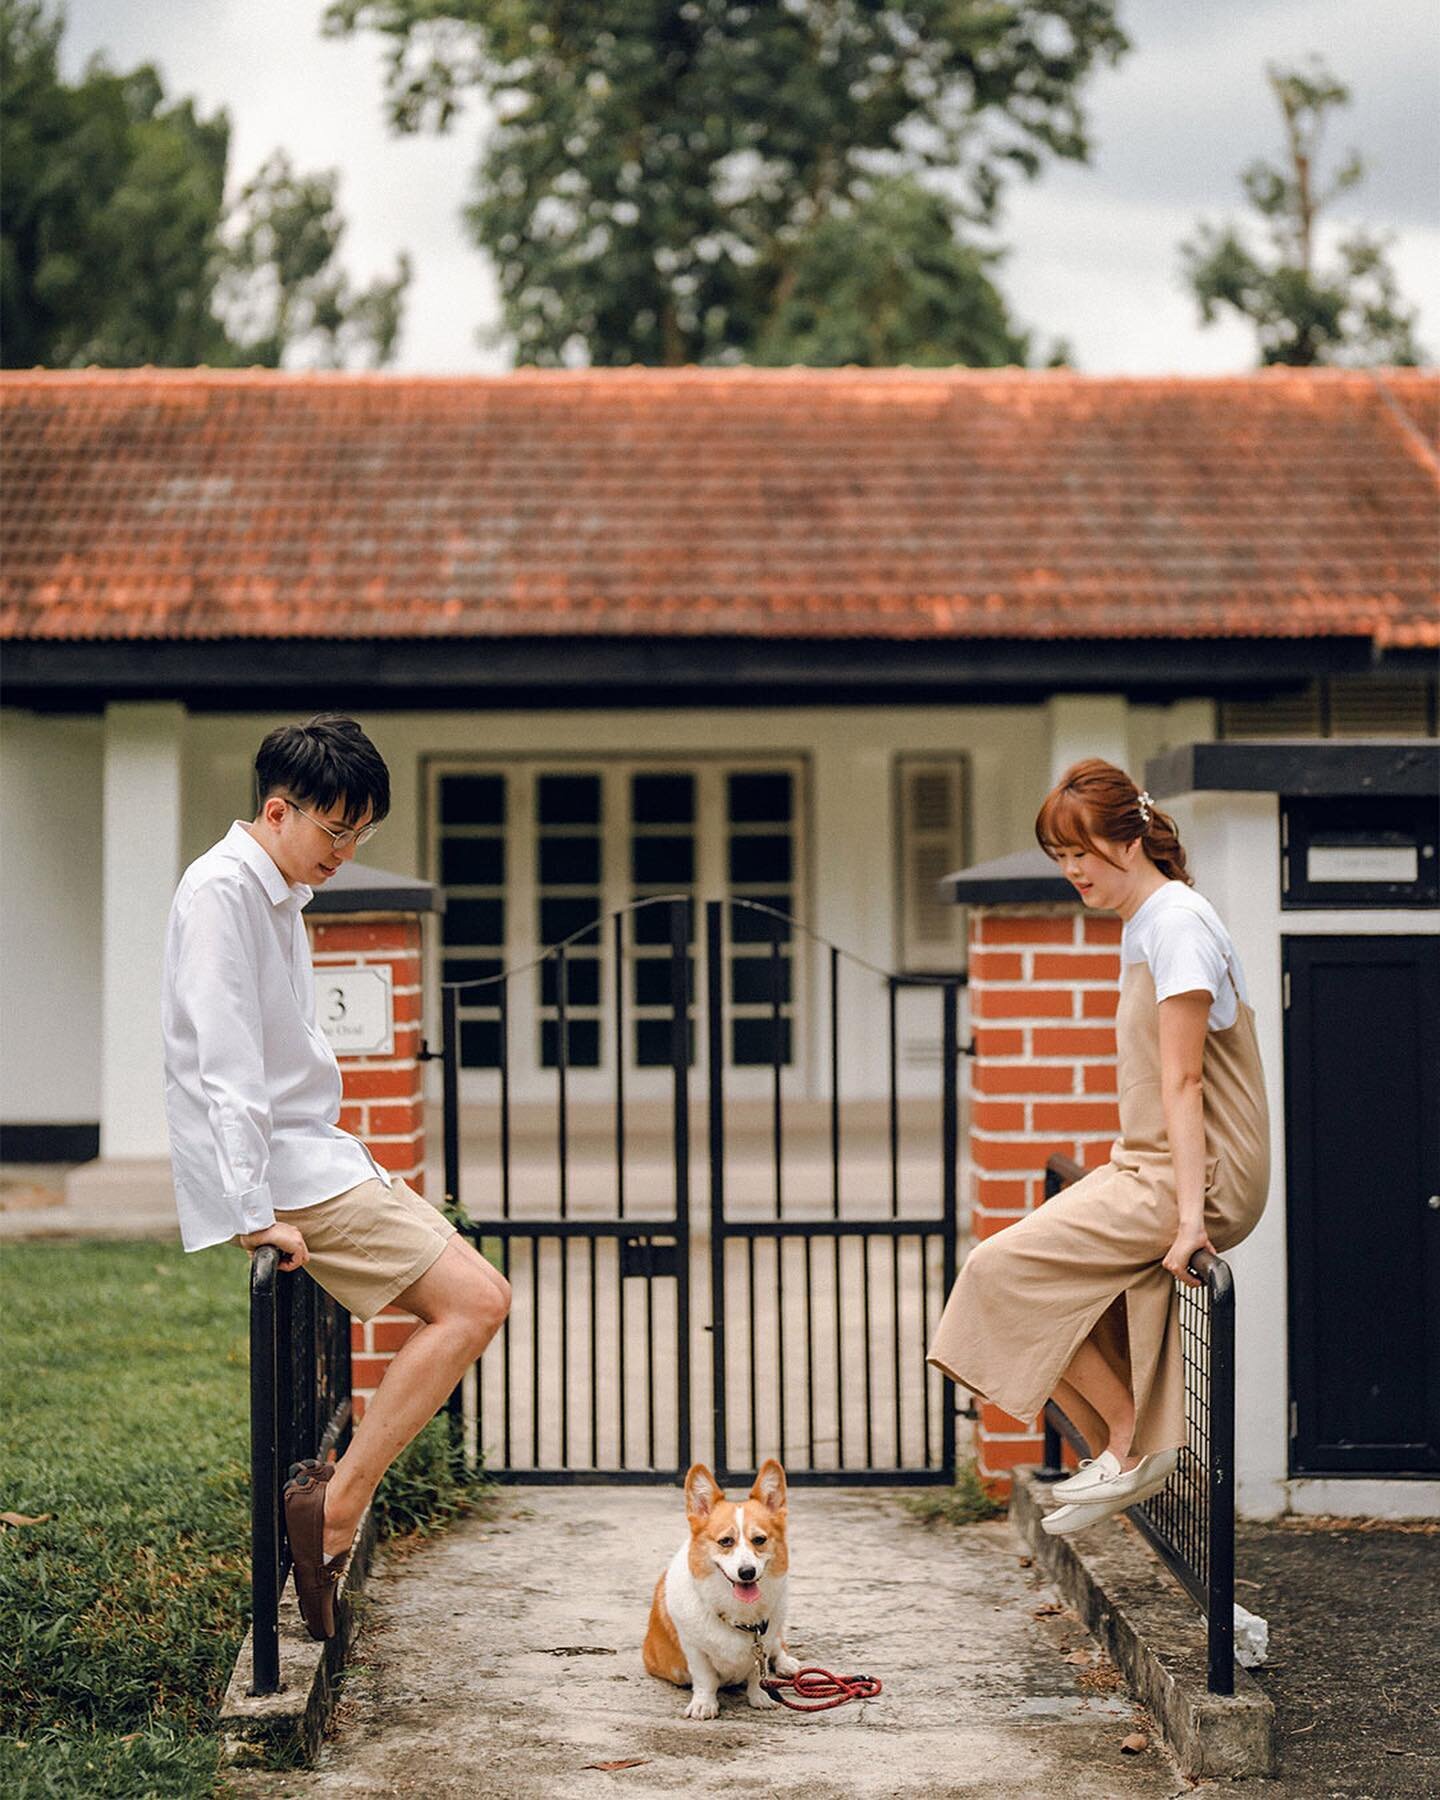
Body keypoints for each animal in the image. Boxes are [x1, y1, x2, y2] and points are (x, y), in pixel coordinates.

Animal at [640, 1454, 799, 1720]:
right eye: (726, 1541)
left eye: (759, 1540)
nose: (747, 1572)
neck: (738, 1614)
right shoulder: (694, 1649)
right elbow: (705, 1679)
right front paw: (704, 1705)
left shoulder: (763, 1644)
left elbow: (758, 1673)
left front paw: (760, 1697)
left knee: (780, 1647)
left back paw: (787, 1664)